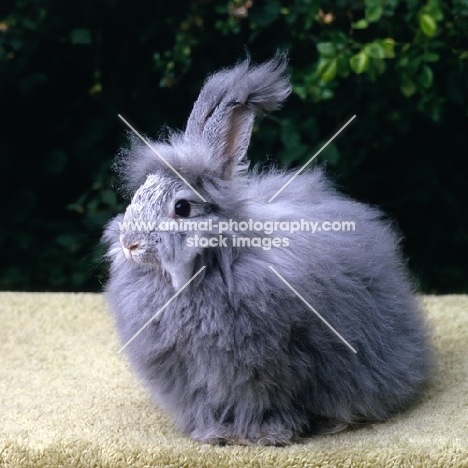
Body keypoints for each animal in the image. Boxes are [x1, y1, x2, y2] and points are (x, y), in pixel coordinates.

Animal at [103, 54, 432, 446]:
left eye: (181, 208)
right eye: (139, 195)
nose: (129, 244)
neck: (215, 262)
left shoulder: (265, 370)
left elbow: (263, 403)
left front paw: (267, 436)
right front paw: (212, 434)